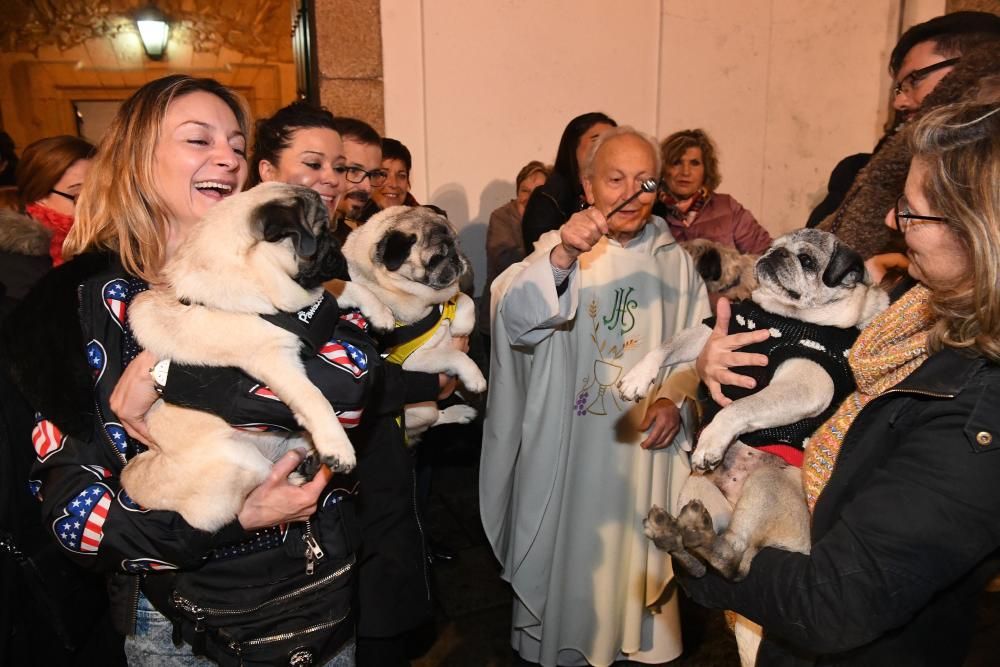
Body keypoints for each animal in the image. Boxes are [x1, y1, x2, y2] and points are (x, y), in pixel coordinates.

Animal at [121, 183, 394, 532]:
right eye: (320, 232)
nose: (337, 245)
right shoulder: (275, 361)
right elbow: (314, 396)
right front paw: (338, 446)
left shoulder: (315, 299)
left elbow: (345, 289)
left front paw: (381, 313)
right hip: (240, 460)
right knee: (254, 490)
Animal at [340, 206, 488, 440]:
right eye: (436, 258)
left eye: (457, 245)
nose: (457, 259)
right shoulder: (412, 360)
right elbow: (455, 355)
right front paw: (475, 377)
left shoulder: (450, 295)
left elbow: (464, 298)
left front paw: (461, 325)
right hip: (424, 409)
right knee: (434, 418)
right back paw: (456, 412)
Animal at [620, 230, 888, 580]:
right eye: (774, 246)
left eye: (806, 260)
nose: (775, 255)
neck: (781, 317)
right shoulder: (713, 333)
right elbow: (666, 348)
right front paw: (639, 376)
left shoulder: (807, 386)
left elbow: (739, 408)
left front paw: (711, 440)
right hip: (697, 489)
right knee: (703, 563)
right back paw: (672, 531)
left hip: (767, 482)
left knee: (733, 561)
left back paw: (691, 531)